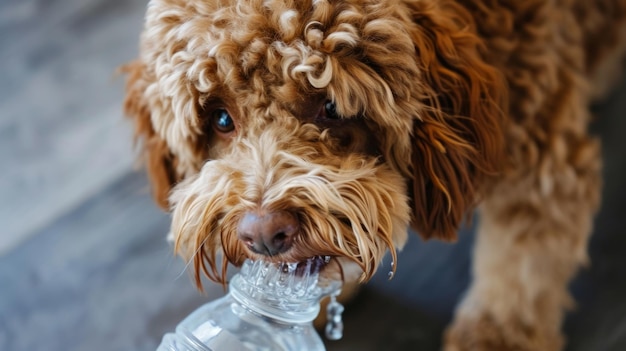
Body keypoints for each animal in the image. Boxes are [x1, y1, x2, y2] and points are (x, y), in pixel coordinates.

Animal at [122, 1, 624, 350]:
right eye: (221, 119)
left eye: (331, 107)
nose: (263, 233)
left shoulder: (541, 162)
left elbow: (521, 264)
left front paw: (495, 334)